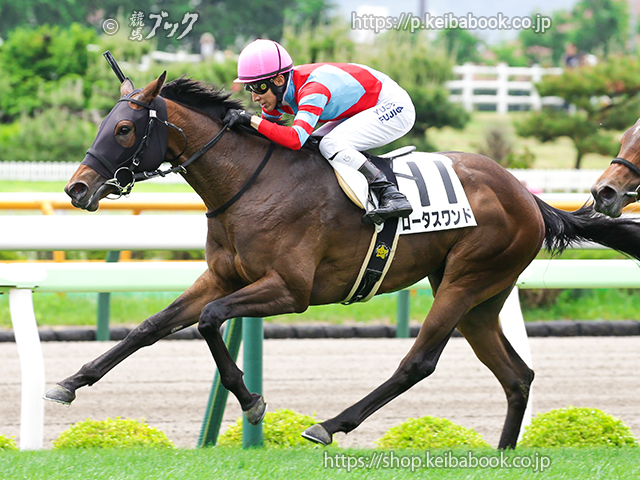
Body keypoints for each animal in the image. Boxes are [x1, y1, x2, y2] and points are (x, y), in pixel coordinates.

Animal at [44, 72, 640, 449]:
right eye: (104, 124)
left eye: (124, 129)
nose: (77, 188)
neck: (247, 183)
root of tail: (527, 196)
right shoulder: (221, 276)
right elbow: (152, 325)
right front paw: (70, 382)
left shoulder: (291, 290)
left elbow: (211, 322)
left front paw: (253, 402)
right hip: (479, 297)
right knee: (517, 376)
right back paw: (502, 454)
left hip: (466, 281)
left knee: (419, 362)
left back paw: (330, 425)